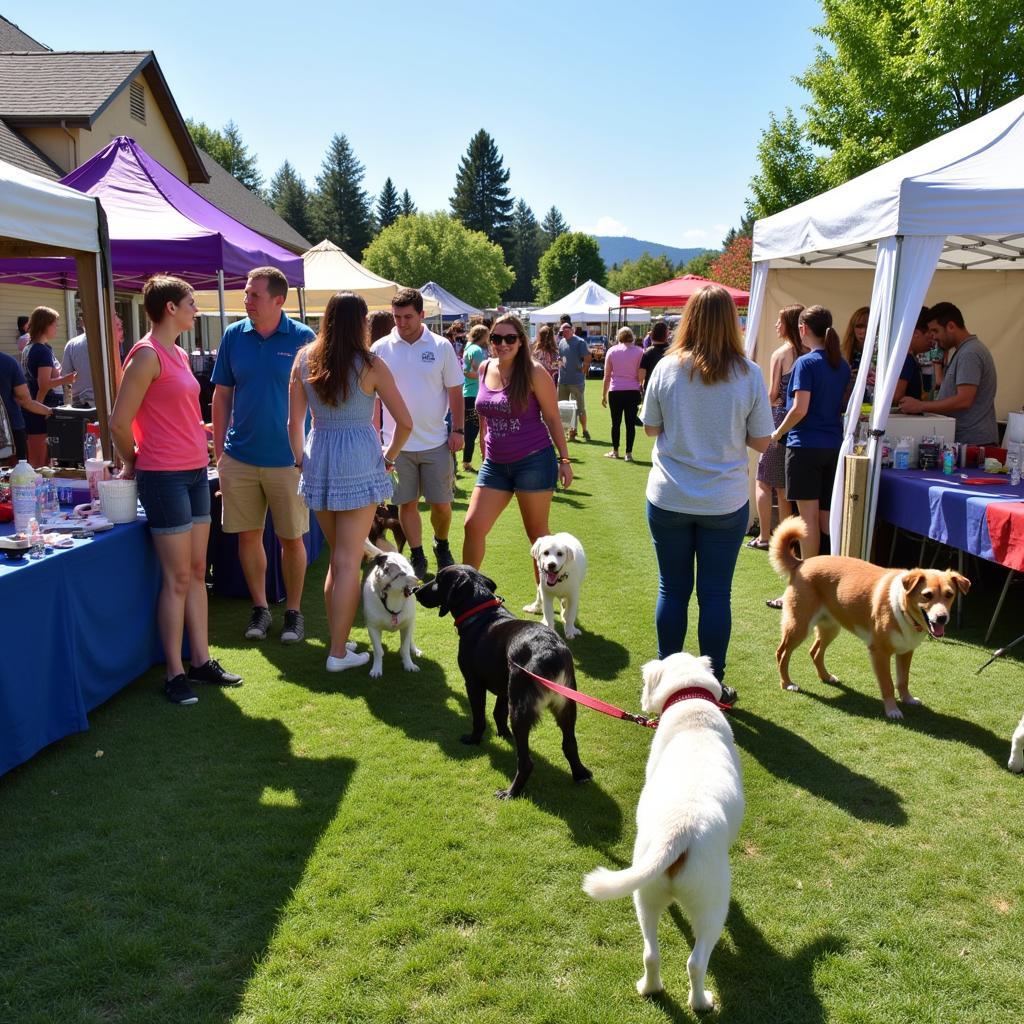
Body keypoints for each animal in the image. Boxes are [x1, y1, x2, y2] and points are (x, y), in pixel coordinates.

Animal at [413, 569, 593, 798]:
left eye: (438, 579)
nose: (415, 589)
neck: (480, 612)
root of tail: (551, 653)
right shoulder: (504, 688)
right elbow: (498, 712)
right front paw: (504, 734)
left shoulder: (473, 683)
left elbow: (479, 718)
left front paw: (474, 739)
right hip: (566, 707)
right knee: (570, 745)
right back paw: (580, 774)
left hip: (520, 710)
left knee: (526, 762)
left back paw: (510, 792)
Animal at [585, 651, 745, 1011]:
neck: (691, 705)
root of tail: (679, 830)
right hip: (712, 906)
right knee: (696, 962)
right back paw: (701, 1002)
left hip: (644, 895)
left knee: (651, 953)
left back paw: (649, 988)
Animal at [774, 512, 966, 720]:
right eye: (927, 595)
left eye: (949, 594)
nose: (942, 618)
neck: (902, 608)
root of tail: (801, 562)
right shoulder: (879, 652)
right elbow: (888, 684)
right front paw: (892, 710)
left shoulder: (906, 651)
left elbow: (903, 680)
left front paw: (908, 699)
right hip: (799, 626)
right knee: (782, 652)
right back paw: (787, 683)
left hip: (830, 627)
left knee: (815, 651)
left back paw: (826, 677)